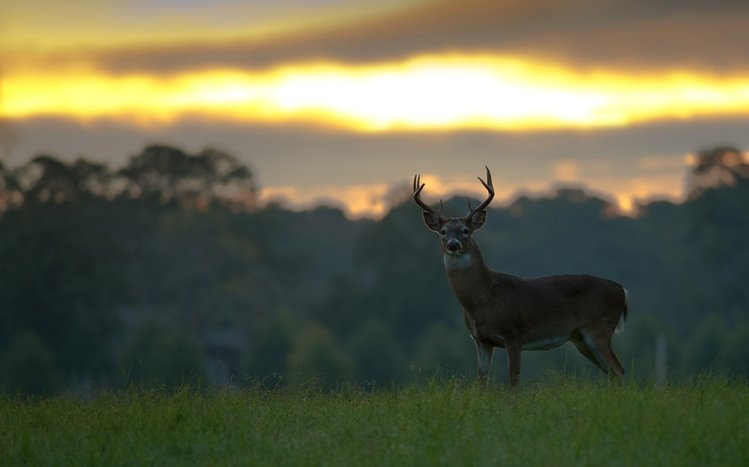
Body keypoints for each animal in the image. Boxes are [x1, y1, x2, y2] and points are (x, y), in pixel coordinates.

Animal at [413, 167, 628, 387]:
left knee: (619, 369)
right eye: (443, 232)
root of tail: (622, 289)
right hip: (581, 338)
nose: (453, 244)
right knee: (612, 372)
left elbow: (514, 383)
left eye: (466, 231)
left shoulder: (514, 334)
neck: (484, 297)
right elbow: (482, 383)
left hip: (599, 329)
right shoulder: (481, 340)